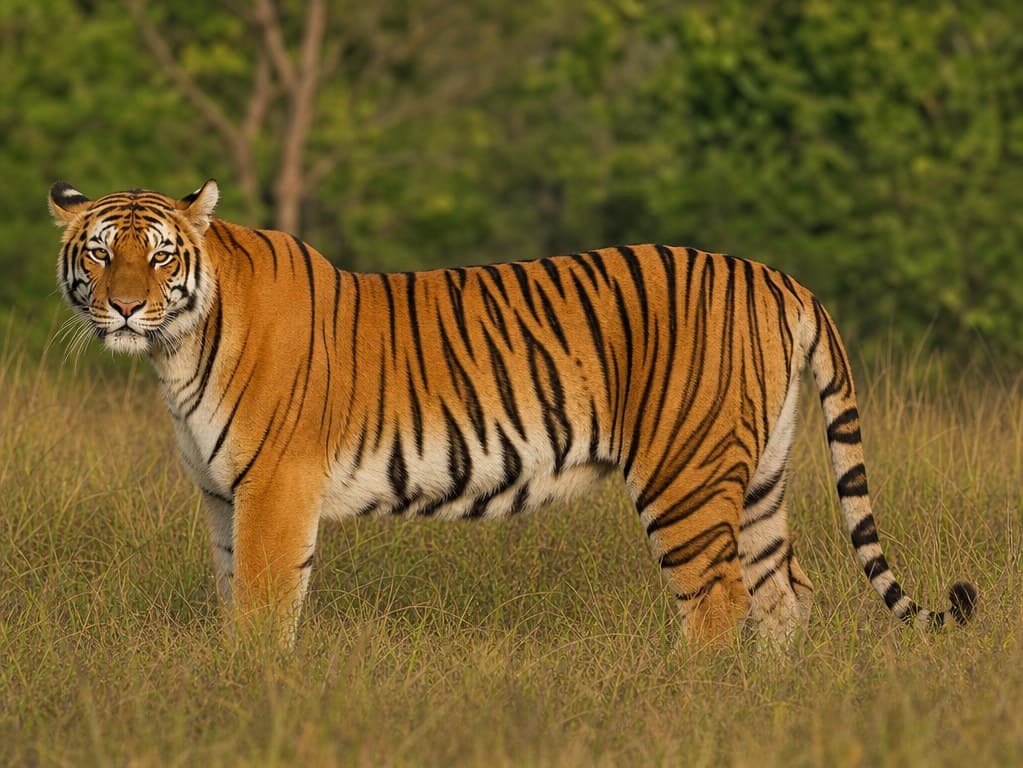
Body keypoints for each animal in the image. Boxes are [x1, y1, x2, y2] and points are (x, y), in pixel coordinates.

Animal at [48, 179, 976, 647]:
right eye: (98, 252)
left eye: (157, 256)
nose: (124, 307)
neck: (177, 349)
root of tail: (779, 277)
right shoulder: (223, 496)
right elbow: (235, 600)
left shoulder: (274, 489)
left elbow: (263, 612)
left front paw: (253, 701)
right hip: (758, 476)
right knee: (786, 593)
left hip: (685, 472)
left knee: (718, 599)